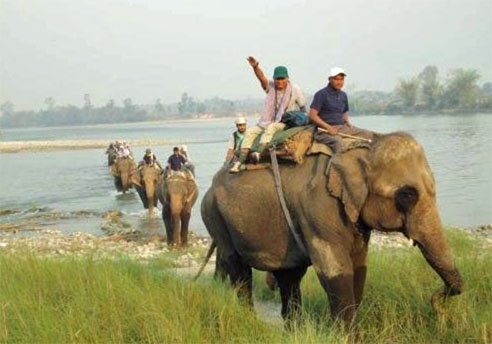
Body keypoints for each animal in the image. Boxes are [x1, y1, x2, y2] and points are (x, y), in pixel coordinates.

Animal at [200, 132, 462, 328]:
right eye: (406, 195)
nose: (439, 308)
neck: (363, 147)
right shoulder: (319, 208)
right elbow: (336, 271)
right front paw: (346, 336)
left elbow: (359, 268)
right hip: (214, 216)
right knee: (239, 268)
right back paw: (252, 320)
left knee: (289, 276)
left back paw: (293, 329)